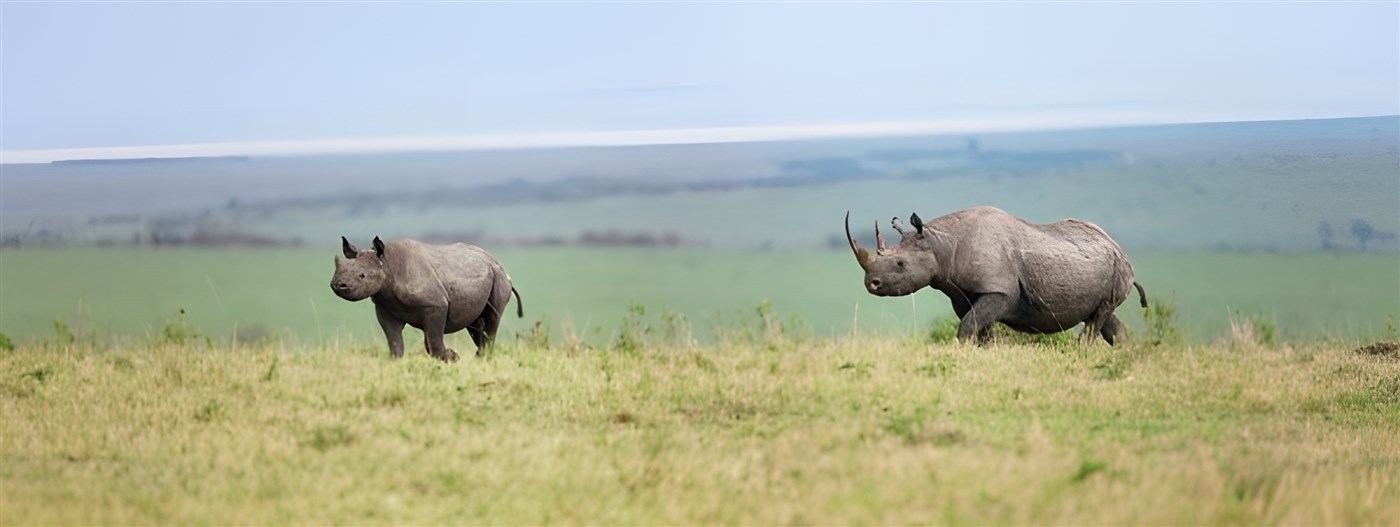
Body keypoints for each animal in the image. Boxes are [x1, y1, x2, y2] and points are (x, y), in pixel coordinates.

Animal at [331, 236, 523, 361]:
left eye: (362, 276)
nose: (338, 285)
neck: (387, 264)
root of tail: (497, 262)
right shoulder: (385, 308)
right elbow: (395, 342)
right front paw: (396, 362)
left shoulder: (436, 305)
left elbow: (434, 341)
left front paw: (452, 357)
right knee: (476, 324)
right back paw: (479, 358)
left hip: (499, 277)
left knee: (492, 317)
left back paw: (482, 358)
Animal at [845, 206, 1146, 345]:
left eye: (900, 263)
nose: (871, 283)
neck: (941, 245)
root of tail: (1116, 245)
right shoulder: (966, 294)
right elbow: (979, 326)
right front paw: (983, 352)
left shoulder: (1000, 291)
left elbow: (969, 324)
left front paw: (961, 350)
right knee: (1103, 314)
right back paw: (1124, 351)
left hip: (1119, 267)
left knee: (1100, 314)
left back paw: (1084, 349)